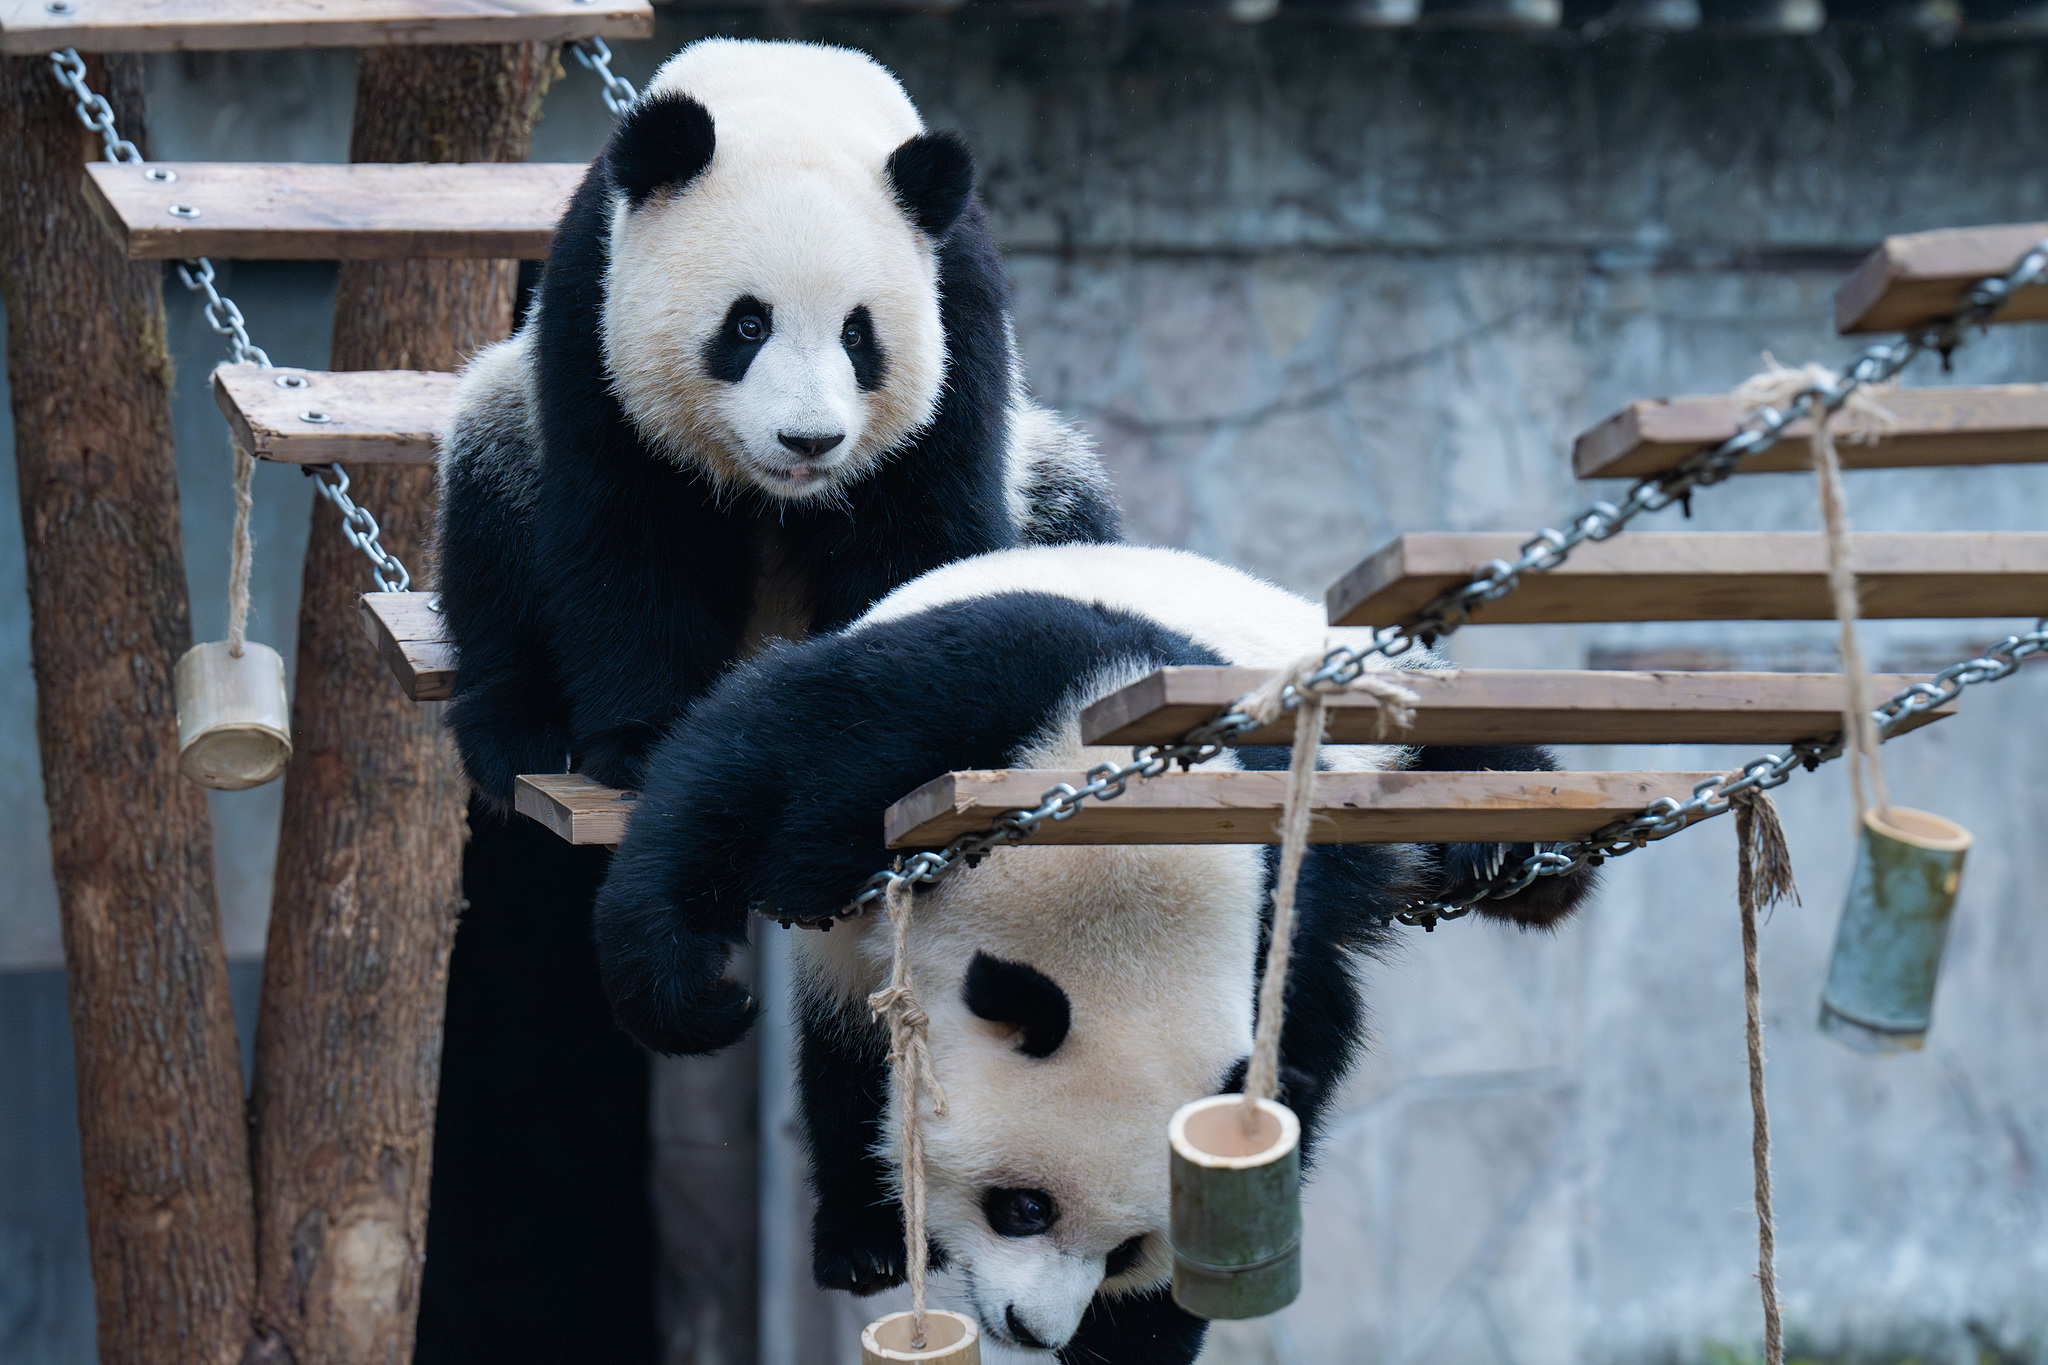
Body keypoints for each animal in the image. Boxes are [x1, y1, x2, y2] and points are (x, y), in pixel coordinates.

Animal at [419, 37, 1122, 1358]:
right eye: (742, 325)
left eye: (861, 337)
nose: (808, 441)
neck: (789, 96)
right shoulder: (592, 307)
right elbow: (624, 532)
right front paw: (637, 746)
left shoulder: (956, 314)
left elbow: (927, 536)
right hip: (499, 426)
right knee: (490, 487)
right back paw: (517, 729)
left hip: (1047, 468)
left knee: (1067, 500)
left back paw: (862, 1239)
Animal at [593, 544, 1597, 1365]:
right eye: (1024, 1206)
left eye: (1124, 1250)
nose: (1031, 1328)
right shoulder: (965, 702)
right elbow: (748, 763)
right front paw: (692, 995)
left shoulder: (1283, 881)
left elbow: (1299, 1052)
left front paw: (1137, 1335)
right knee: (844, 1057)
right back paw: (864, 1239)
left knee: (1458, 752)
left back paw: (1507, 856)